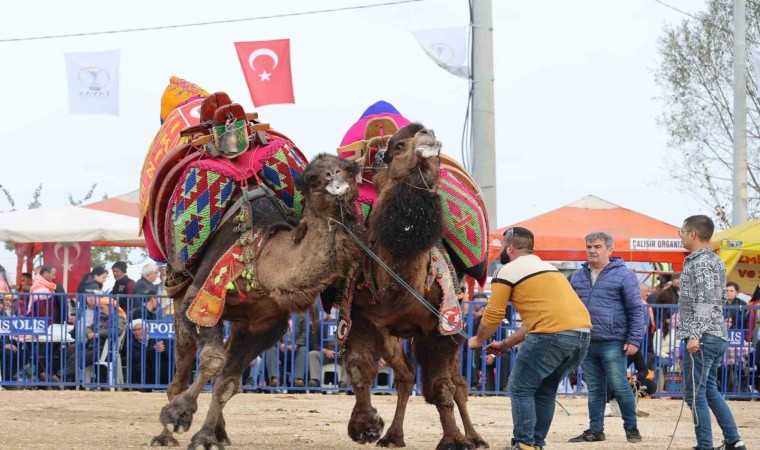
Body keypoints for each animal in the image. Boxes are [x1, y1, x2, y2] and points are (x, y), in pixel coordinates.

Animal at [151, 153, 366, 448]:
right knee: (180, 374)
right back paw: (164, 436)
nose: (335, 177)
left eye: (348, 168)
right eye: (312, 177)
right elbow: (212, 361)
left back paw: (220, 432)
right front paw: (178, 415)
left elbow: (227, 381)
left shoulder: (266, 326)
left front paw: (205, 437)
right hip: (178, 293)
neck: (262, 257)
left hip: (239, 322)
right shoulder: (199, 302)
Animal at [342, 123, 486, 450]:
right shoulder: (364, 318)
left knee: (458, 384)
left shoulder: (442, 327)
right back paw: (393, 436)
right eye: (397, 146)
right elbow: (359, 368)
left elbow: (442, 388)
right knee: (406, 376)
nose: (428, 138)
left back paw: (475, 437)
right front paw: (365, 426)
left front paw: (454, 440)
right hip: (394, 338)